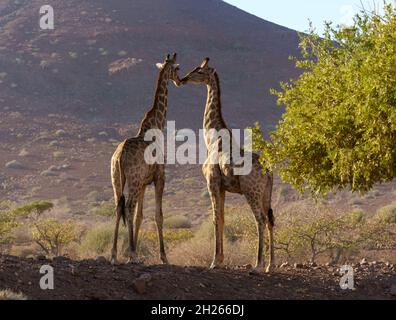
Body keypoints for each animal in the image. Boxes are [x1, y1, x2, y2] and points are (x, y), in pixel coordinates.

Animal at [110, 53, 181, 264]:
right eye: (178, 68)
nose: (180, 81)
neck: (156, 125)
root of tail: (119, 157)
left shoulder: (143, 183)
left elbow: (139, 216)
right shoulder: (159, 177)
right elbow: (158, 215)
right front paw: (163, 256)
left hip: (116, 179)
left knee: (119, 208)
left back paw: (114, 254)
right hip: (132, 181)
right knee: (128, 207)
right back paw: (132, 253)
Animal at [180, 57, 276, 272]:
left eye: (199, 71)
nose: (182, 79)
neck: (212, 139)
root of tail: (268, 172)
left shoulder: (212, 183)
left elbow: (216, 219)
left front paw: (215, 261)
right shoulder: (223, 187)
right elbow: (222, 218)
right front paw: (220, 259)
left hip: (251, 191)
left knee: (260, 219)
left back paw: (257, 265)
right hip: (266, 193)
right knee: (271, 220)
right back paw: (271, 265)